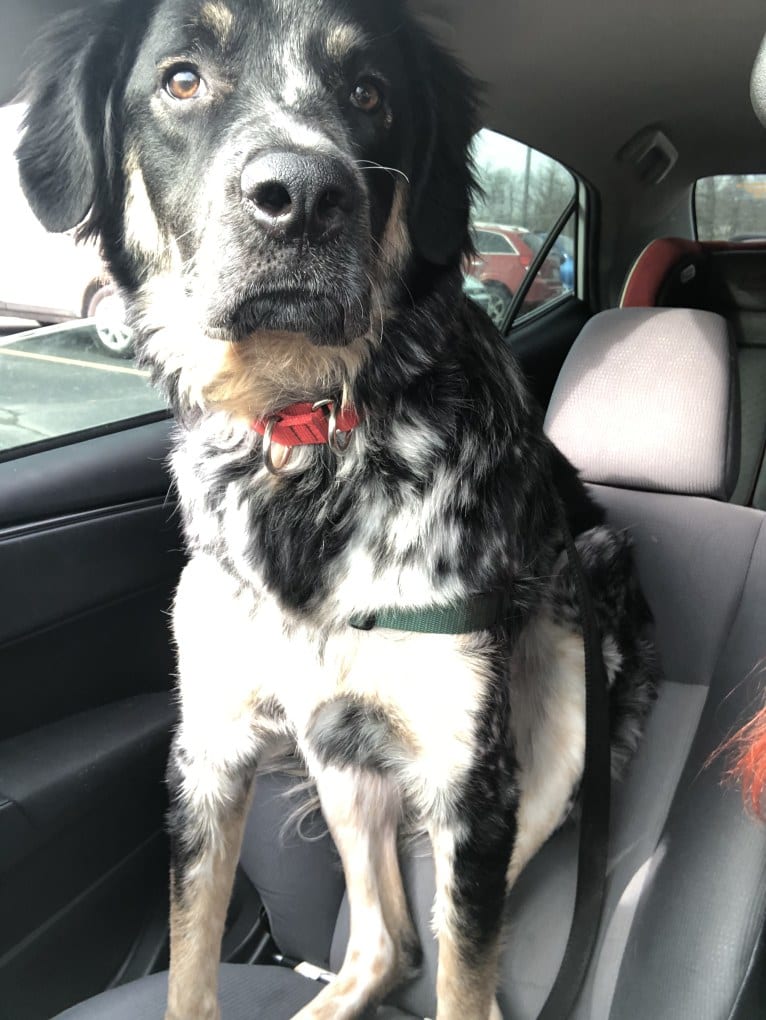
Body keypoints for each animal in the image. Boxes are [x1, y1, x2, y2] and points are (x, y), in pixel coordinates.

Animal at [16, 1, 660, 1020]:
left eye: (369, 94)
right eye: (181, 79)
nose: (304, 195)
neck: (306, 442)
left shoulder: (471, 779)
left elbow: (464, 974)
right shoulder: (208, 750)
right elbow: (190, 968)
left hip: (559, 732)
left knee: (451, 944)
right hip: (333, 743)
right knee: (386, 942)